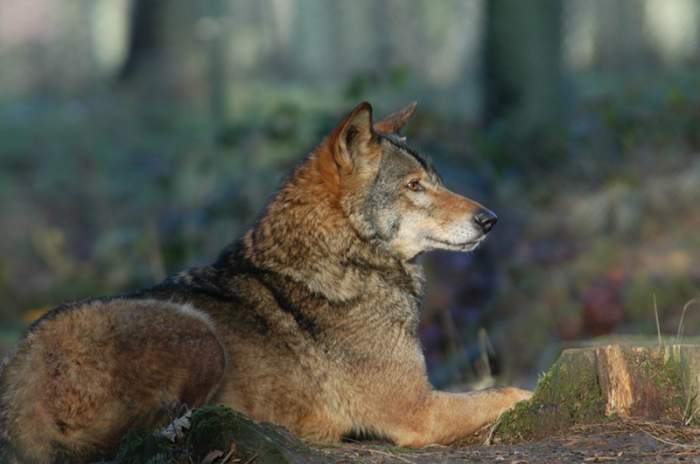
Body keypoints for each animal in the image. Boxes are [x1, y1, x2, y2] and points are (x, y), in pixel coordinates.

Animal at [0, 101, 528, 460]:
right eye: (414, 187)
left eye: (436, 180)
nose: (491, 220)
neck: (346, 260)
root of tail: (20, 381)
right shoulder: (417, 411)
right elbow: (508, 391)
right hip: (200, 334)